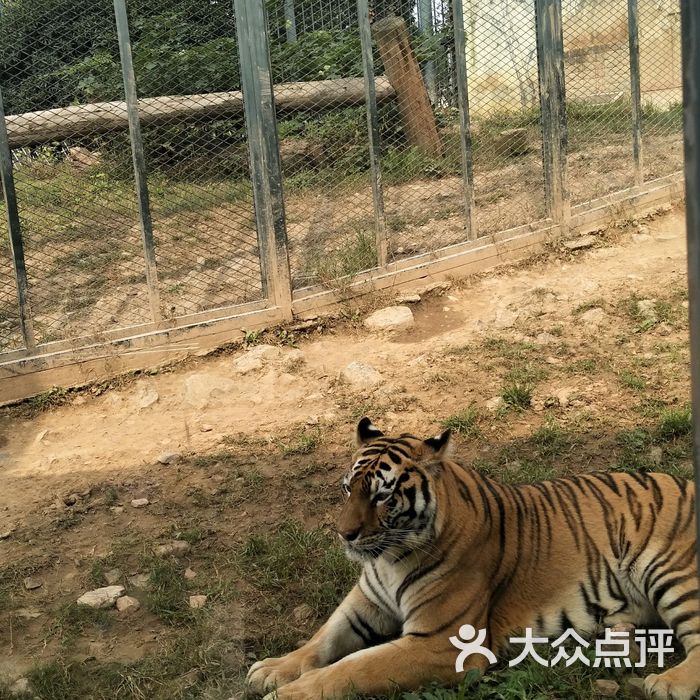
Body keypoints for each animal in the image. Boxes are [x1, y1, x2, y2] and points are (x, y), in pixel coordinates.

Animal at [247, 418, 700, 696]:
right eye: (347, 489)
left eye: (382, 495)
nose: (345, 534)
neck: (390, 558)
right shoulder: (365, 605)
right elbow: (320, 640)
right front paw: (271, 669)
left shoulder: (441, 642)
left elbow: (356, 666)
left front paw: (292, 692)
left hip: (670, 573)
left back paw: (667, 683)